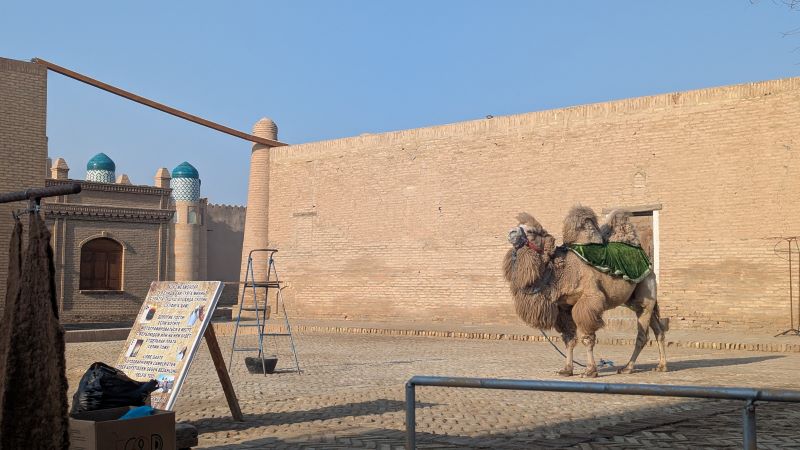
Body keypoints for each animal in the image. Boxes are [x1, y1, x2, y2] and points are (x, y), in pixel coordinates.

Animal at [504, 207, 664, 376]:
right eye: (519, 226)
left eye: (532, 231)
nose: (511, 232)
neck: (563, 270)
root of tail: (648, 262)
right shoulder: (564, 307)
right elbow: (569, 339)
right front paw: (567, 369)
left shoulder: (589, 299)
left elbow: (587, 338)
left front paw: (590, 370)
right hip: (636, 302)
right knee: (658, 329)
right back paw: (662, 366)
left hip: (646, 291)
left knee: (642, 335)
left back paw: (628, 368)